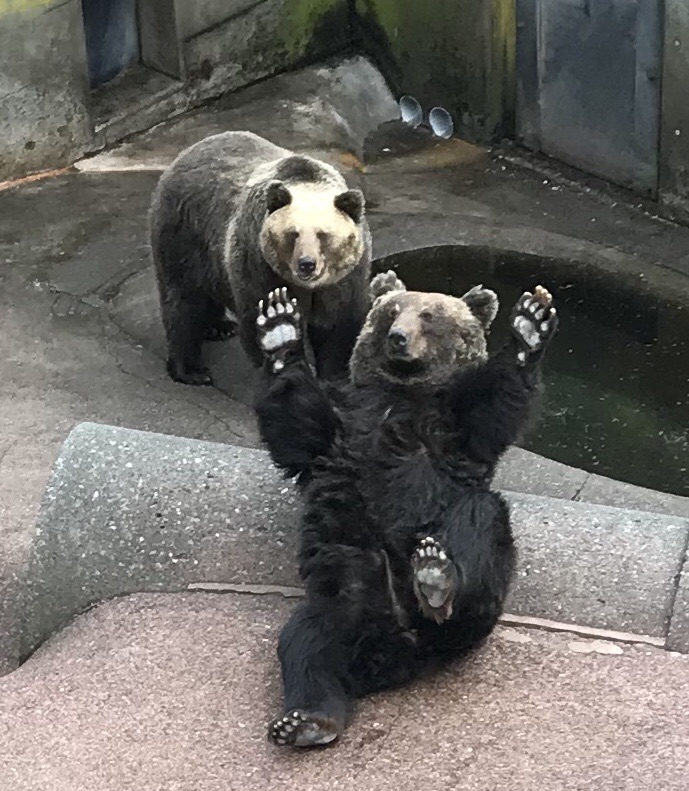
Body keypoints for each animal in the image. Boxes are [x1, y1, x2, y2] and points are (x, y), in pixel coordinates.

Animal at [149, 131, 372, 385]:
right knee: (182, 302)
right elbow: (263, 318)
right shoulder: (260, 267)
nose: (306, 264)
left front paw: (334, 375)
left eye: (323, 234)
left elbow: (337, 325)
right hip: (183, 236)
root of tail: (185, 154)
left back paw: (219, 326)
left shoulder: (344, 279)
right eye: (293, 233)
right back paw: (191, 370)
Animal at [252, 270, 558, 747]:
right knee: (307, 646)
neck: (401, 393)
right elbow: (300, 428)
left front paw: (530, 323)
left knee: (480, 523)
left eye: (429, 316)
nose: (398, 339)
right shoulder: (347, 421)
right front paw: (279, 326)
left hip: (466, 589)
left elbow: (494, 409)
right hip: (343, 595)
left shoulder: (452, 429)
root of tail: (400, 648)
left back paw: (435, 576)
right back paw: (306, 722)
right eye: (393, 311)